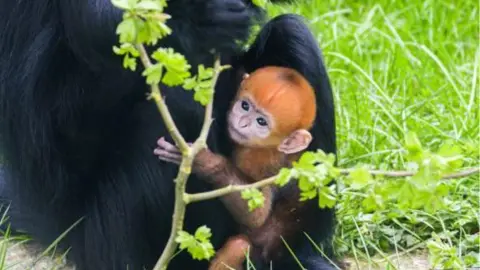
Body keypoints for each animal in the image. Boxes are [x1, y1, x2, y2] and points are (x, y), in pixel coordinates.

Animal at [156, 66, 316, 270]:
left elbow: (257, 215)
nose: (242, 123)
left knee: (238, 246)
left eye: (261, 122)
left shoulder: (263, 163)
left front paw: (202, 161)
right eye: (245, 106)